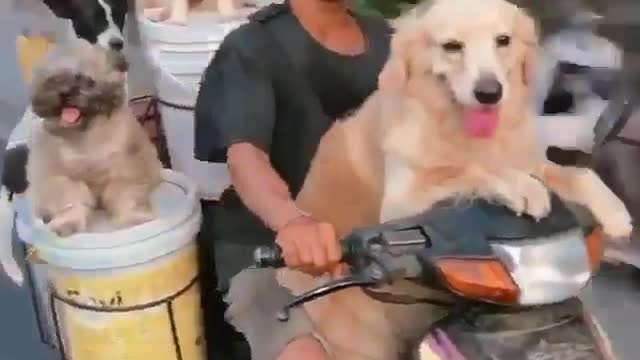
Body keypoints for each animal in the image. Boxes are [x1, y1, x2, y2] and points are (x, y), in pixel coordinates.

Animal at [27, 40, 164, 236]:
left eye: (87, 80)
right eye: (53, 80)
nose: (65, 92)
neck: (84, 137)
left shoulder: (126, 171)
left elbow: (126, 196)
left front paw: (133, 218)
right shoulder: (58, 177)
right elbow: (70, 200)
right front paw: (68, 222)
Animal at [278, 0, 632, 360]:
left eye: (503, 40)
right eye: (452, 47)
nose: (489, 93)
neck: (458, 127)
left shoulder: (529, 159)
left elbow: (579, 173)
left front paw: (615, 212)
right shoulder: (402, 200)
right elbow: (467, 169)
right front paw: (524, 188)